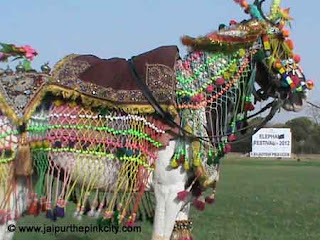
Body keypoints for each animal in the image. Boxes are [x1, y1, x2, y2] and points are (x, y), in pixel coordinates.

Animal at [0, 0, 314, 240]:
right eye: (279, 47)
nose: (301, 90)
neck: (190, 101)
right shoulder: (167, 191)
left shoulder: (183, 196)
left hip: (24, 173)